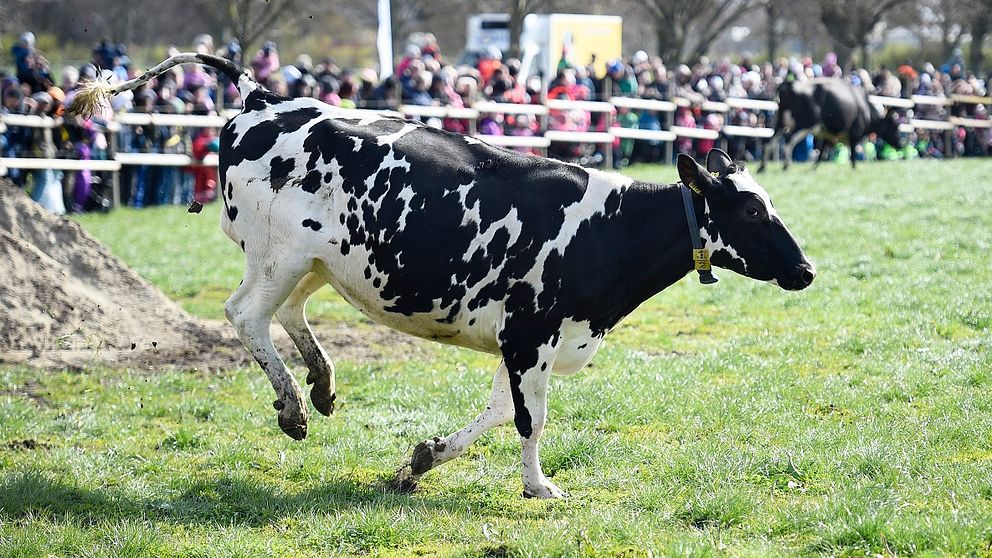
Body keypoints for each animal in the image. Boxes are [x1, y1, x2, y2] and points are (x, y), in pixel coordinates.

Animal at [68, 51, 812, 498]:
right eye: (751, 208)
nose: (805, 269)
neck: (607, 229)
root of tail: (265, 98)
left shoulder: (526, 342)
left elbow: (501, 411)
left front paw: (420, 460)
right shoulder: (530, 334)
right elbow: (529, 420)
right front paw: (538, 486)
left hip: (316, 261)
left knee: (287, 314)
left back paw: (322, 383)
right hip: (278, 253)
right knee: (245, 314)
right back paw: (293, 406)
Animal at [760, 77, 908, 172]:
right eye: (895, 127)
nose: (901, 143)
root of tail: (790, 85)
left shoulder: (828, 133)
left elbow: (822, 152)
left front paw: (814, 168)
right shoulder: (855, 131)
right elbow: (852, 151)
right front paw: (854, 167)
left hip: (781, 121)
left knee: (769, 141)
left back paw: (762, 167)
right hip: (805, 123)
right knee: (789, 141)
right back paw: (786, 166)